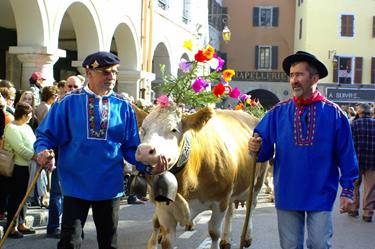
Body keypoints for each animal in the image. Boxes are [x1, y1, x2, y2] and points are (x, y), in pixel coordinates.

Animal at [135, 104, 268, 249]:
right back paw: (226, 239)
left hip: (258, 181)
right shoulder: (164, 209)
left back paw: (247, 237)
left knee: (251, 206)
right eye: (143, 129)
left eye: (174, 129)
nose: (145, 151)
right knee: (231, 211)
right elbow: (166, 240)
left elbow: (214, 232)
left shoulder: (220, 200)